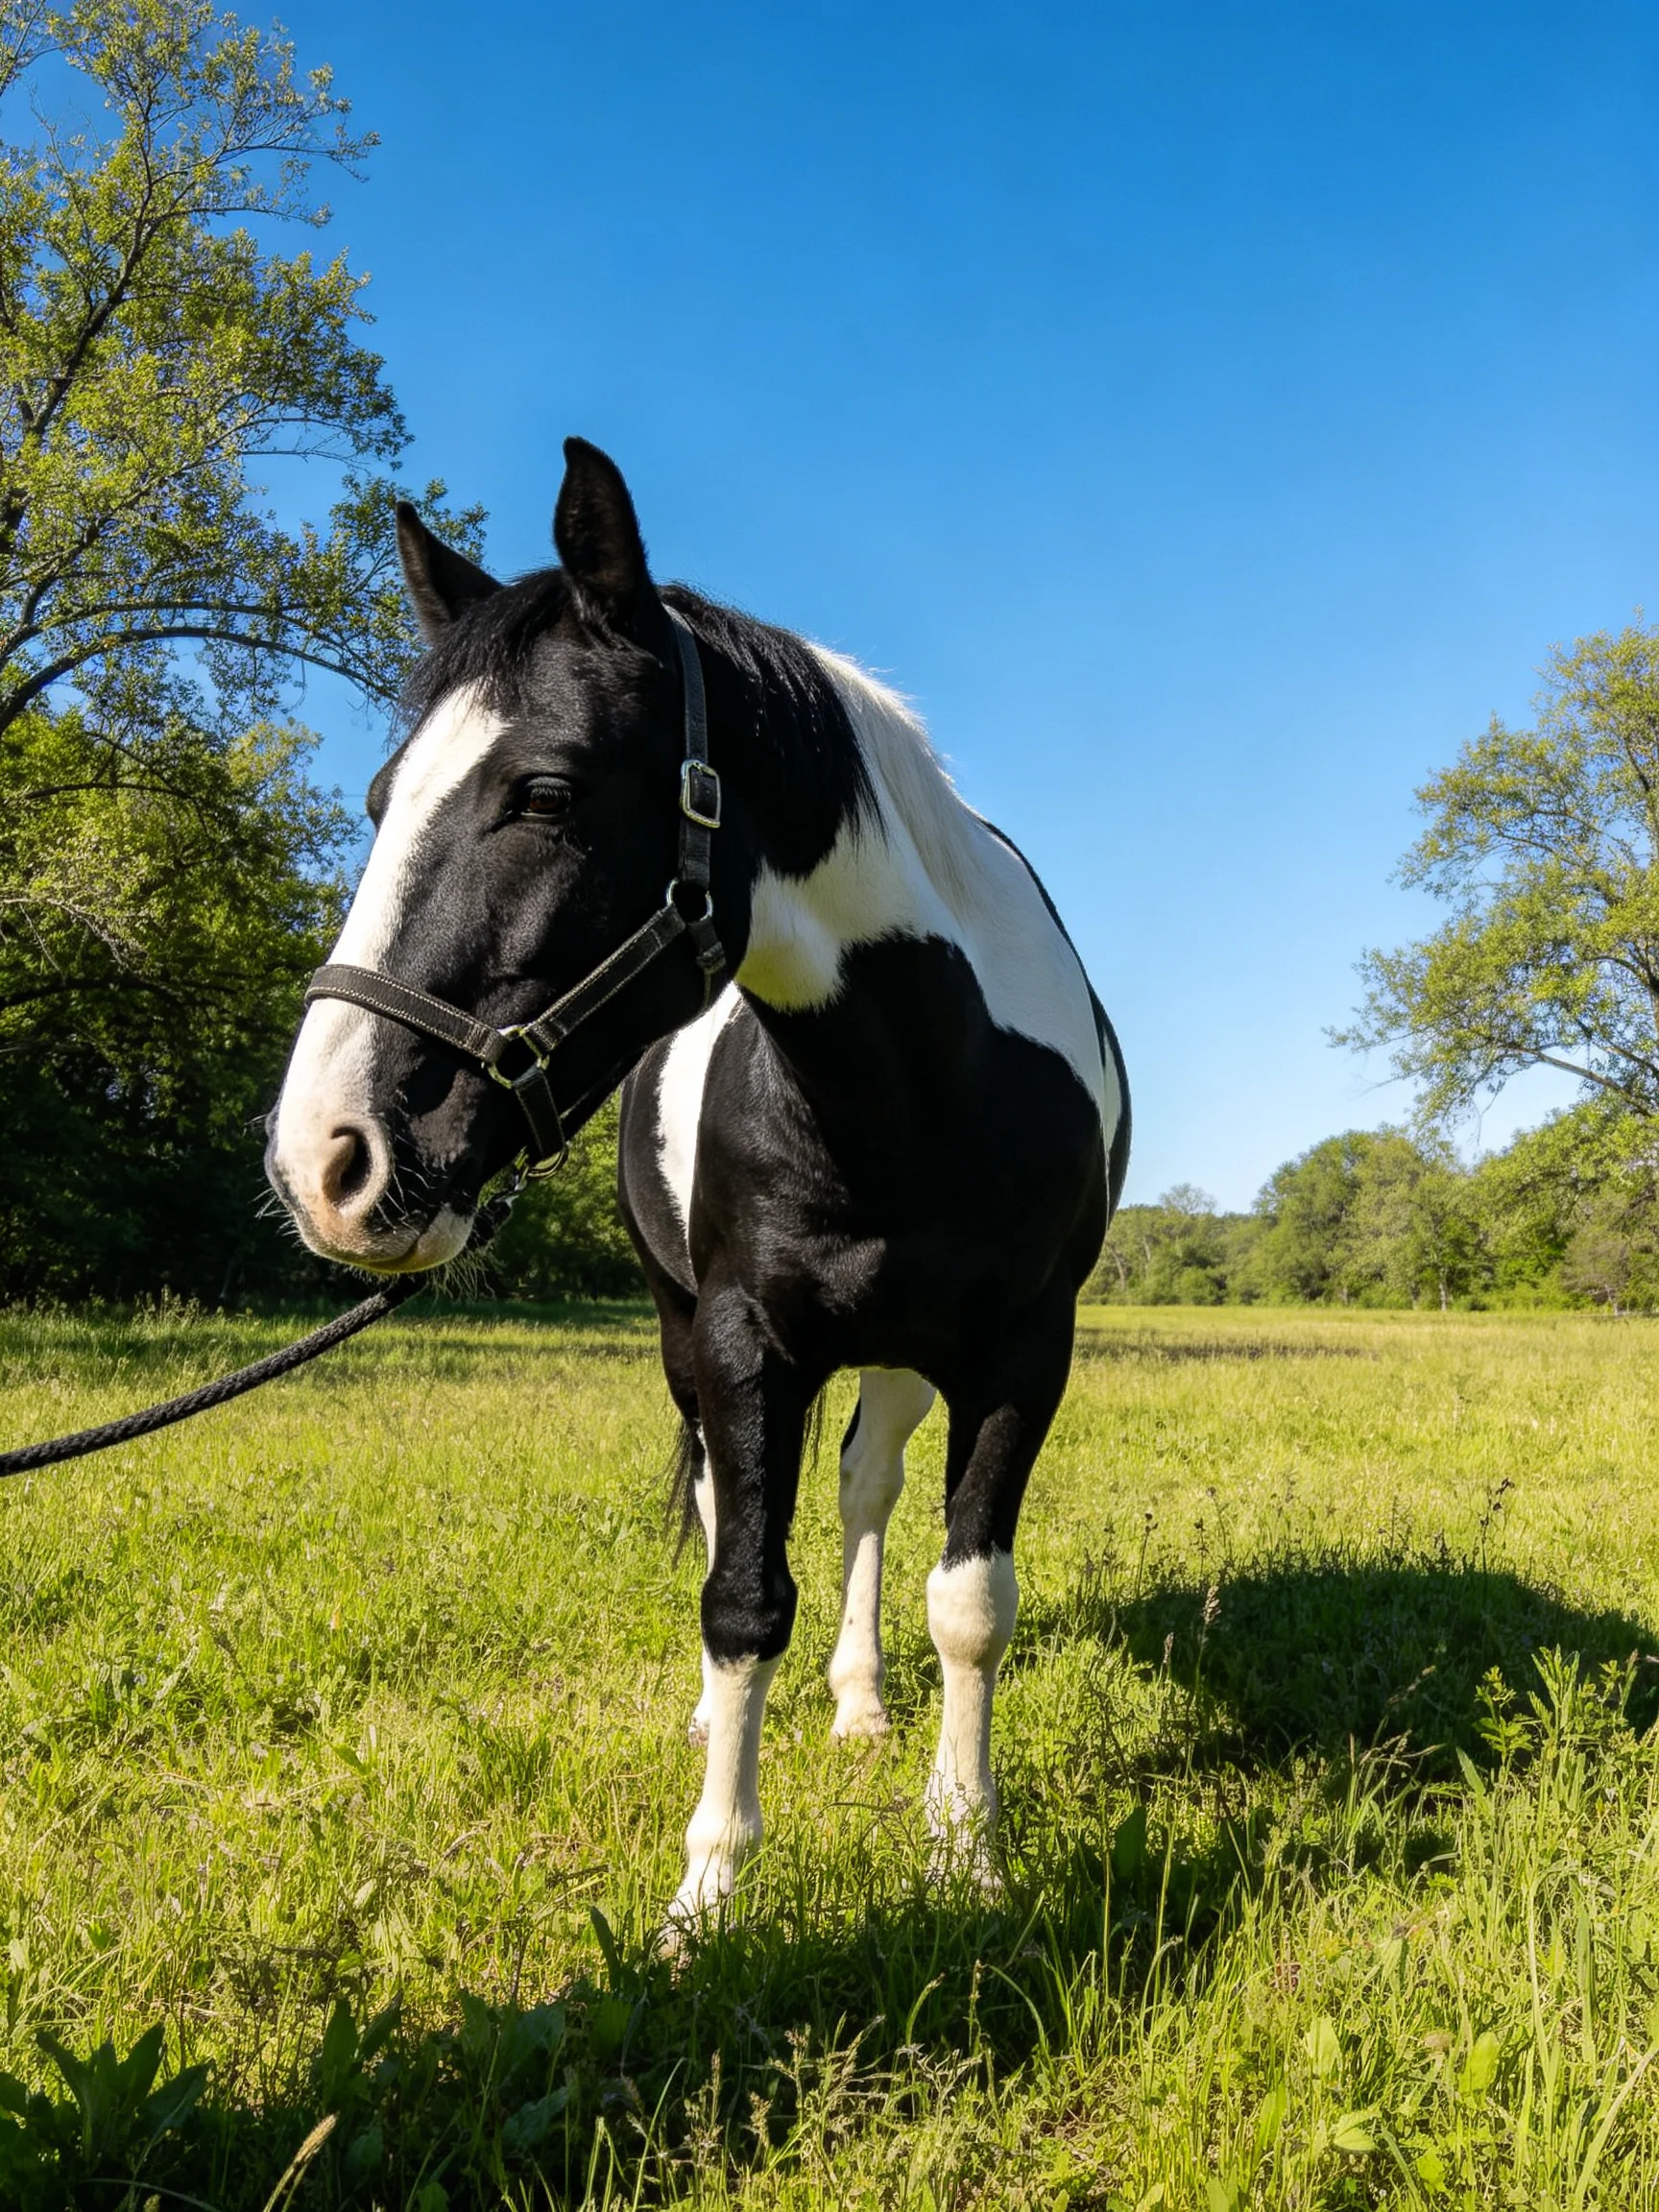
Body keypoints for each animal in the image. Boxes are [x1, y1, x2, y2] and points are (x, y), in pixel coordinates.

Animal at [265, 438, 1130, 1926]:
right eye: (380, 802)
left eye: (546, 793)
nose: (327, 1155)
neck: (921, 1082)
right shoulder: (738, 1337)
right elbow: (740, 1598)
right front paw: (711, 1891)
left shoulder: (1023, 1348)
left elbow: (970, 1603)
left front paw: (965, 1849)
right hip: (694, 1339)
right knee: (746, 1513)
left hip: (900, 1355)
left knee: (860, 1492)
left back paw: (859, 1703)